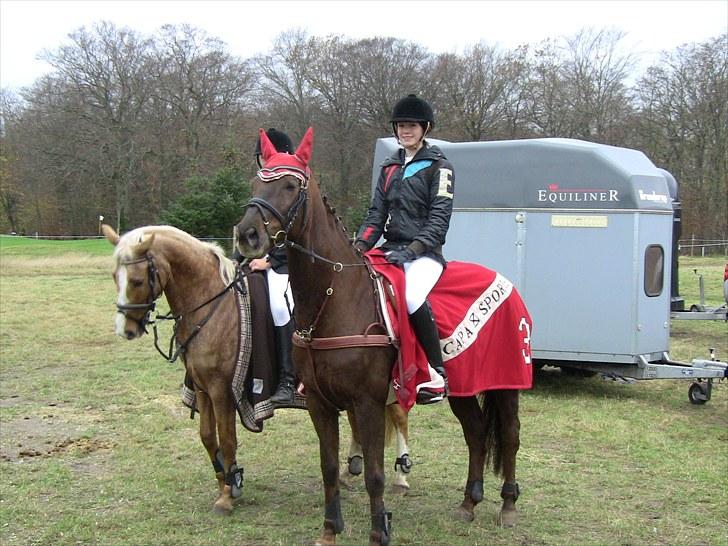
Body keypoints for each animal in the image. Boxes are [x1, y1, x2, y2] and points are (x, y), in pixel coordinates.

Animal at [236, 126, 528, 544]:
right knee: (474, 433)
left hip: (505, 384)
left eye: (291, 186)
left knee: (511, 436)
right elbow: (329, 468)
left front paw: (379, 531)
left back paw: (507, 506)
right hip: (463, 388)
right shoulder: (321, 405)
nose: (247, 236)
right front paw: (330, 530)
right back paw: (469, 504)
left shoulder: (367, 403)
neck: (335, 298)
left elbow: (374, 474)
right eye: (256, 182)